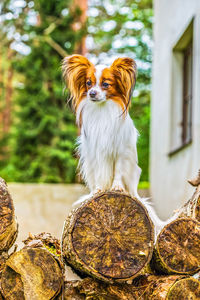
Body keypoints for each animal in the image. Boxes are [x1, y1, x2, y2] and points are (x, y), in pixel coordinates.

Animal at [62, 55, 166, 234]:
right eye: (88, 83)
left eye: (105, 84)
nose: (92, 93)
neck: (102, 111)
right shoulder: (95, 154)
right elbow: (99, 176)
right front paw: (98, 190)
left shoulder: (121, 152)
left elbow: (118, 170)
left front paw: (117, 187)